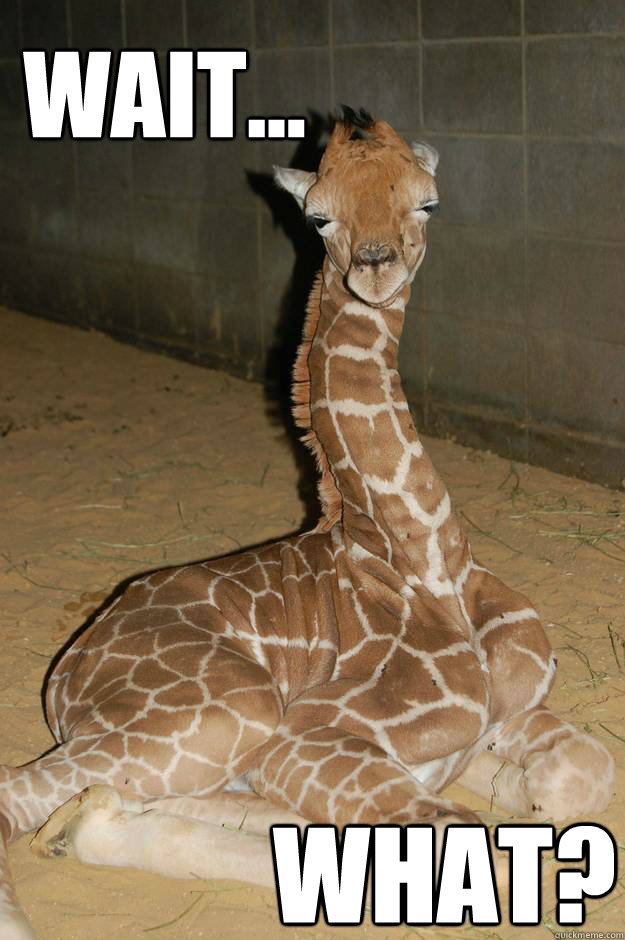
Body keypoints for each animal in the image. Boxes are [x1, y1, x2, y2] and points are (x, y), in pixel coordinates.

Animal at [0, 108, 614, 939]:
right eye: (318, 216)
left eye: (427, 201)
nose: (376, 268)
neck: (427, 557)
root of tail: (67, 668)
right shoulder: (309, 735)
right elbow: (466, 845)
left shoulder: (513, 706)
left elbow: (583, 772)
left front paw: (519, 787)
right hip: (235, 709)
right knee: (26, 797)